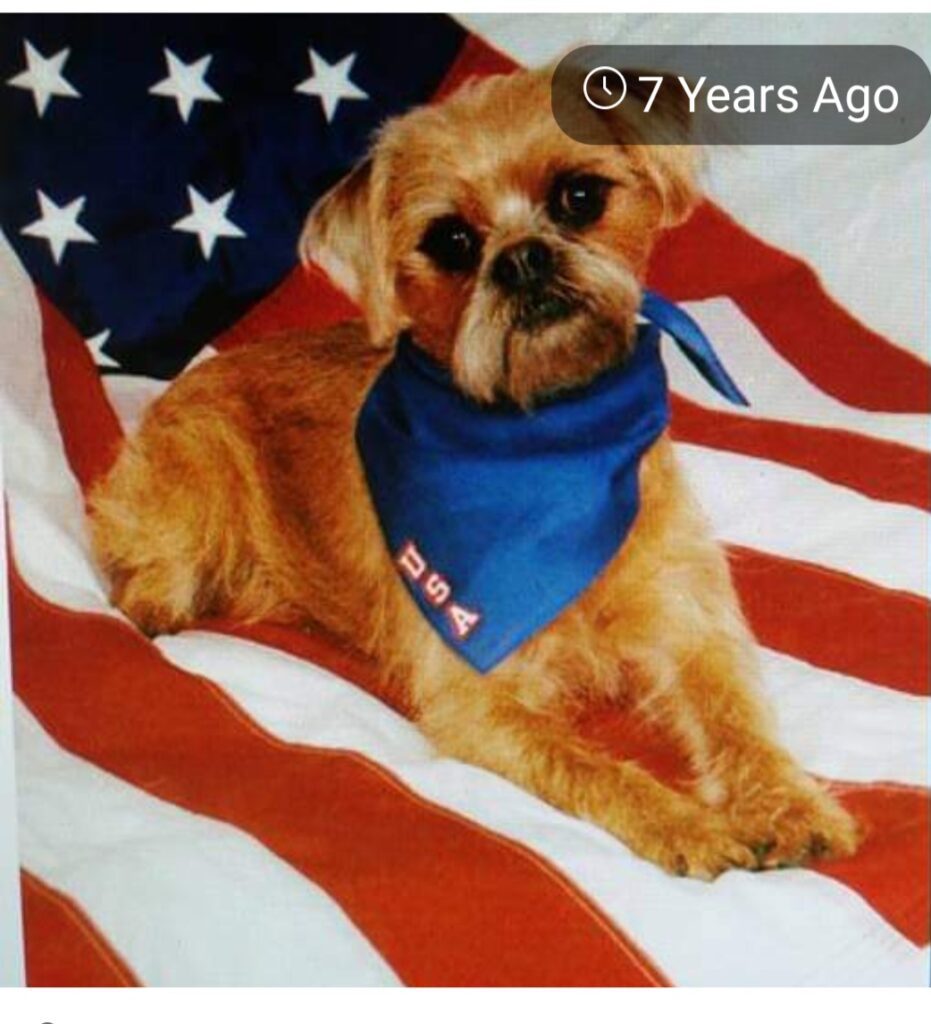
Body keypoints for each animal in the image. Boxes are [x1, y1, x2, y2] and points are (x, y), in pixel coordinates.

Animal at [90, 66, 860, 880]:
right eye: (452, 242)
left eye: (579, 198)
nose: (522, 256)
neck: (546, 440)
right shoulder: (480, 700)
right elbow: (591, 768)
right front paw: (686, 824)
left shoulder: (688, 628)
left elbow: (735, 717)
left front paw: (788, 803)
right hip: (195, 483)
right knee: (151, 577)